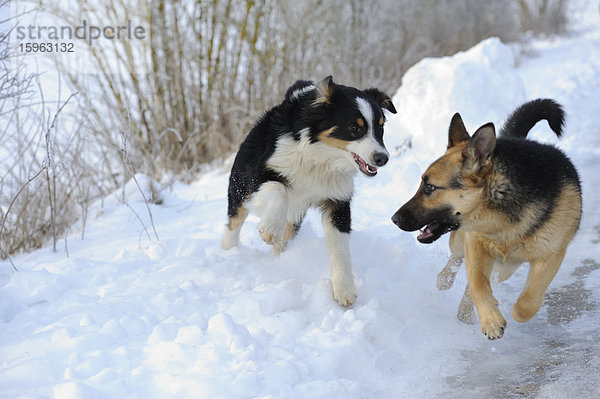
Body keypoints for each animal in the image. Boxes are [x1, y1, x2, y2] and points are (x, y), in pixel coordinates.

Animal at [223, 76, 396, 306]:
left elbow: (340, 249)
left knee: (284, 238)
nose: (383, 158)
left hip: (294, 219)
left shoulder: (338, 200)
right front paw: (269, 229)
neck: (320, 157)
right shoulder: (258, 176)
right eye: (354, 127)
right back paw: (229, 252)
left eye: (380, 128)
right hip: (239, 188)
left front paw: (344, 290)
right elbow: (279, 189)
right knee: (234, 223)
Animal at [390, 98, 580, 340]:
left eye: (430, 187)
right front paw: (490, 320)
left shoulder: (551, 256)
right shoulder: (475, 243)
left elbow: (528, 302)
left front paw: (512, 311)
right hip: (460, 242)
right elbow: (477, 283)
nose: (394, 219)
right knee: (457, 261)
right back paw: (447, 283)